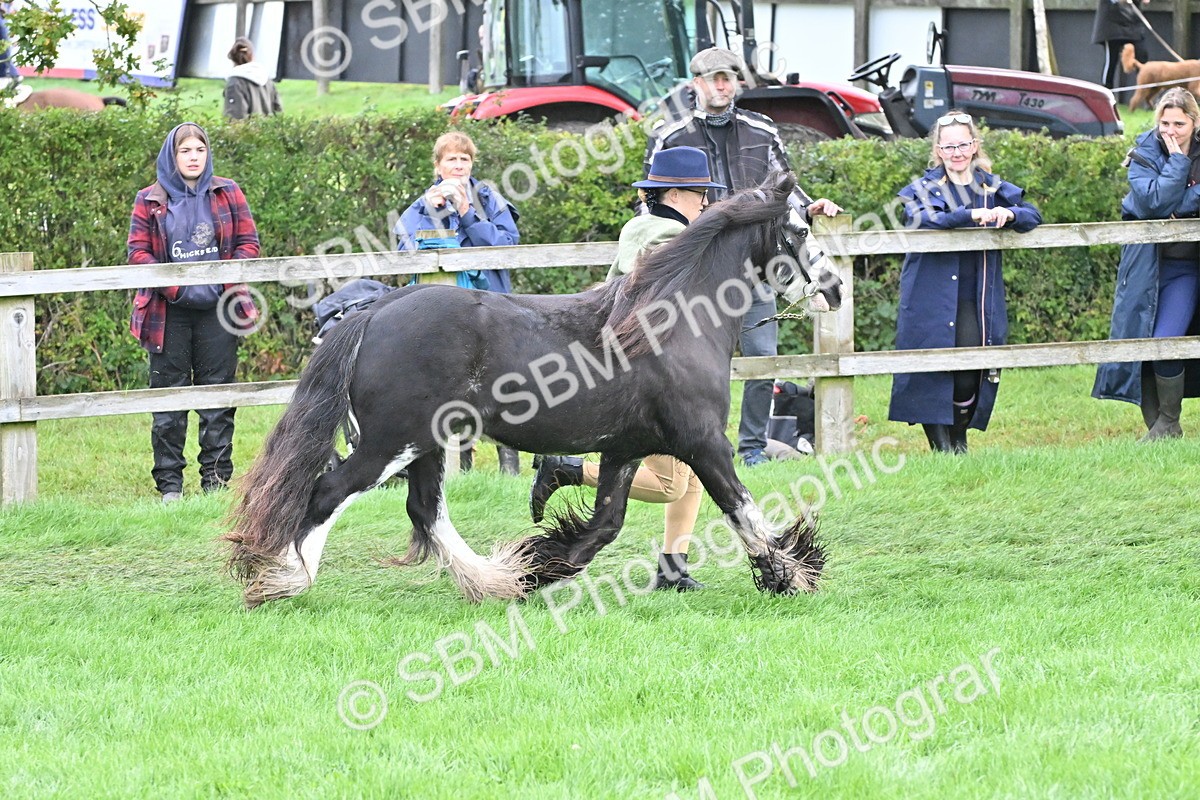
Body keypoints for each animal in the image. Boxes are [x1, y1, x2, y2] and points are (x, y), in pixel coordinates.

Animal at [224, 171, 844, 609]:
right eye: (801, 230)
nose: (836, 289)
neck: (670, 320)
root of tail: (377, 310)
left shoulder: (623, 451)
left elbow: (602, 529)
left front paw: (538, 565)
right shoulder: (703, 443)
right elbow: (743, 510)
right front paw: (791, 575)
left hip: (426, 444)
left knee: (425, 509)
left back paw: (492, 581)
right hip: (391, 443)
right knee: (329, 492)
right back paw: (287, 581)